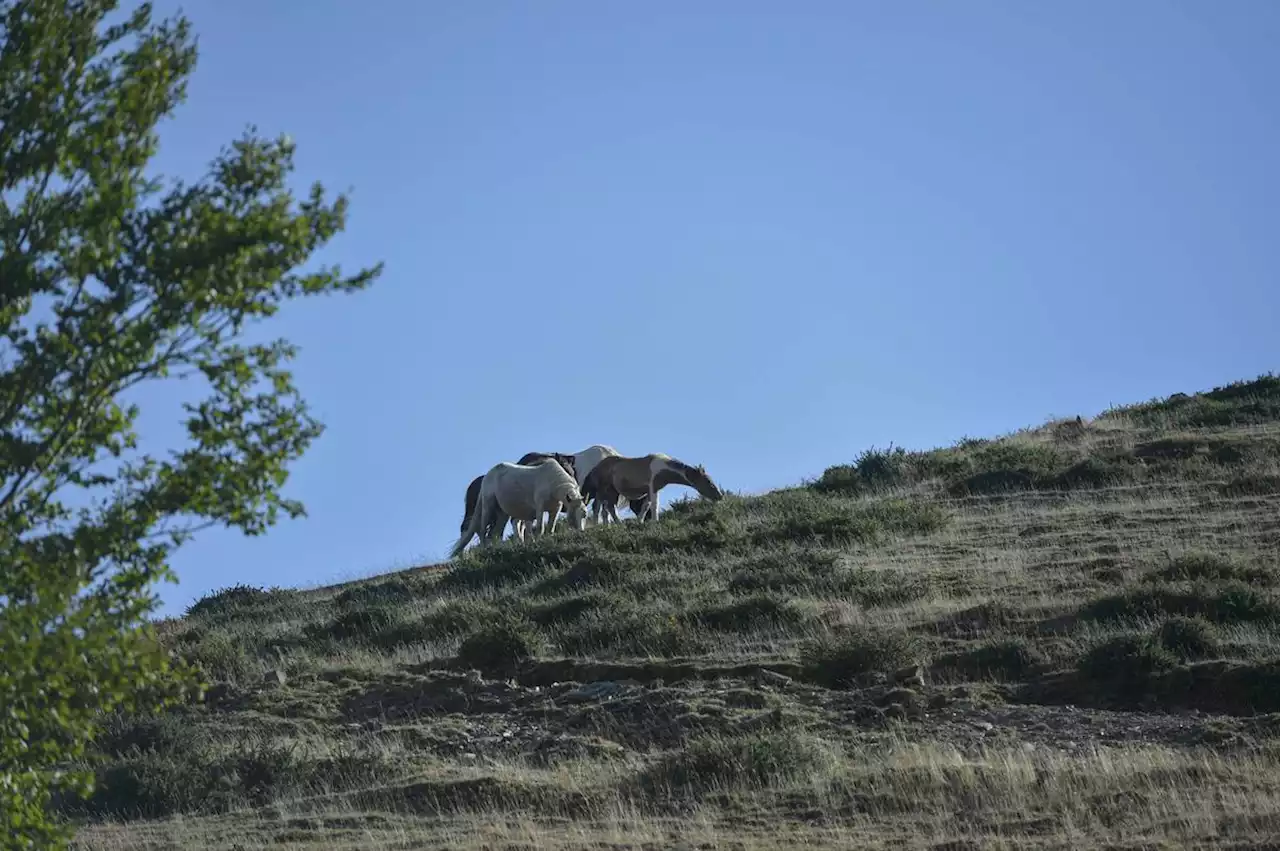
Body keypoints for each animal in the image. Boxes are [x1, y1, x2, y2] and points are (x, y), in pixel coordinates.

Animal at [450, 458, 588, 557]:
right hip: (488, 506)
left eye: (584, 514)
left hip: (502, 513)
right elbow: (540, 527)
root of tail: (487, 475)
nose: (581, 531)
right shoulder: (539, 508)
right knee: (483, 529)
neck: (552, 482)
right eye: (575, 514)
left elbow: (550, 528)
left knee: (496, 533)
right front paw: (539, 542)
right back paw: (484, 549)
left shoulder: (555, 510)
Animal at [581, 450, 721, 524]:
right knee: (598, 507)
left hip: (612, 491)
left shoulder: (649, 491)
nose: (719, 496)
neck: (663, 468)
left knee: (608, 508)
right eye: (708, 482)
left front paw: (640, 521)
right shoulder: (653, 487)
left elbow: (645, 506)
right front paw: (655, 521)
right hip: (603, 490)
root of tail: (597, 467)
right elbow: (654, 505)